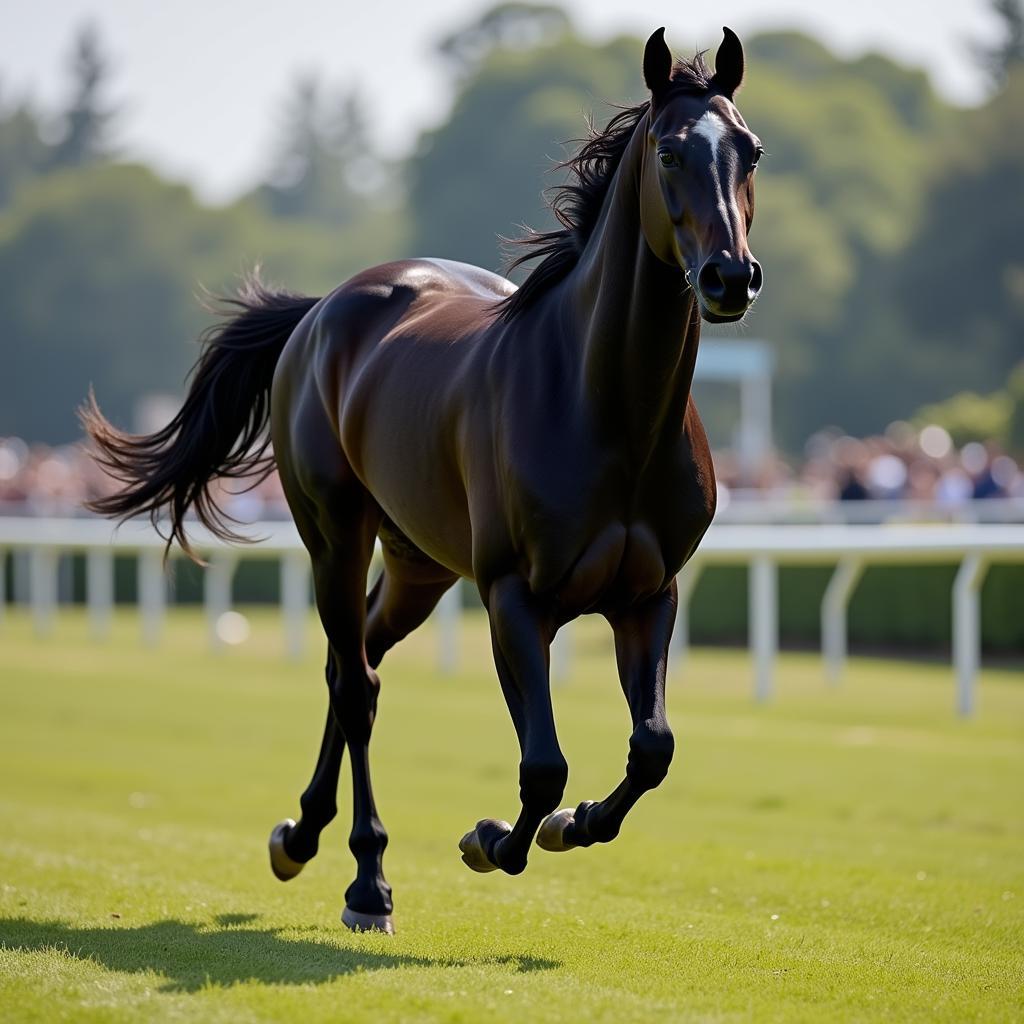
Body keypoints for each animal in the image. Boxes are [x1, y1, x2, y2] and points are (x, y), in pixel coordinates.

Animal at [86, 28, 761, 933]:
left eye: (750, 150)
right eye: (669, 150)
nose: (730, 277)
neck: (607, 409)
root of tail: (321, 310)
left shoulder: (648, 593)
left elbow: (652, 748)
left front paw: (573, 824)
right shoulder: (513, 594)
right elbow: (543, 764)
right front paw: (490, 838)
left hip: (419, 564)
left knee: (356, 662)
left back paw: (303, 833)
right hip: (335, 534)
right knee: (357, 683)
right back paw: (363, 879)